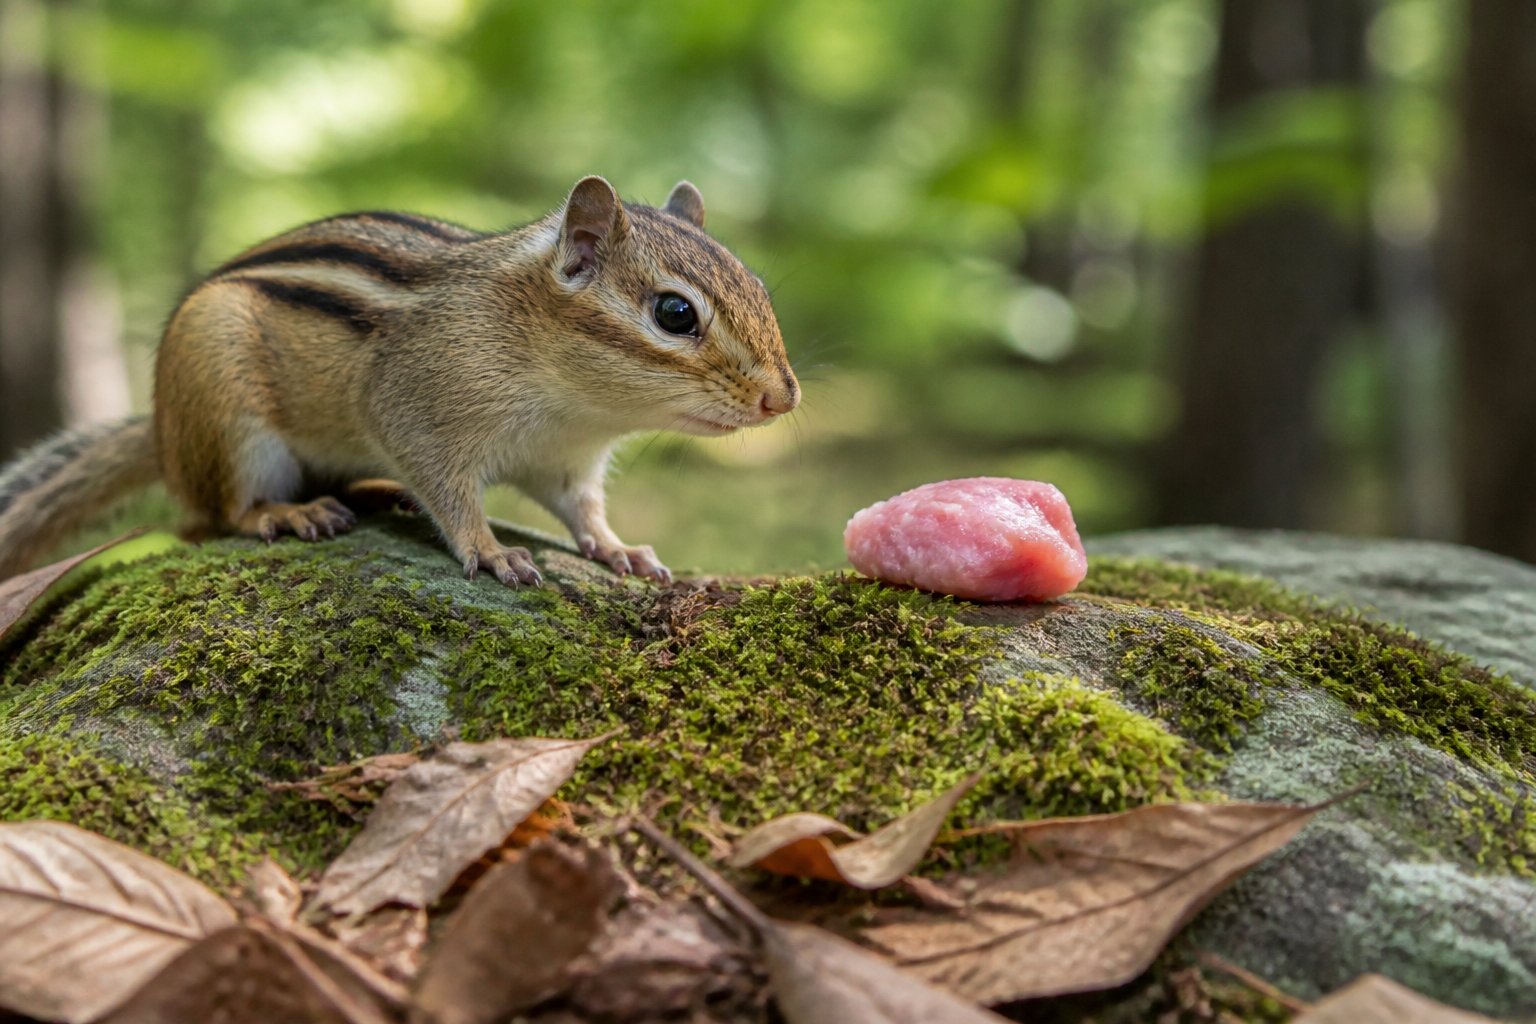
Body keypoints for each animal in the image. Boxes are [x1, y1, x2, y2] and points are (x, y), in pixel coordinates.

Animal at [0, 176, 799, 585]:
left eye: (760, 286)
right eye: (675, 313)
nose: (783, 397)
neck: (577, 406)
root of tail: (162, 433)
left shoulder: (566, 462)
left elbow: (583, 511)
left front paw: (618, 548)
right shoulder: (414, 408)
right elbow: (450, 492)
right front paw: (491, 549)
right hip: (221, 401)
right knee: (209, 518)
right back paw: (285, 513)